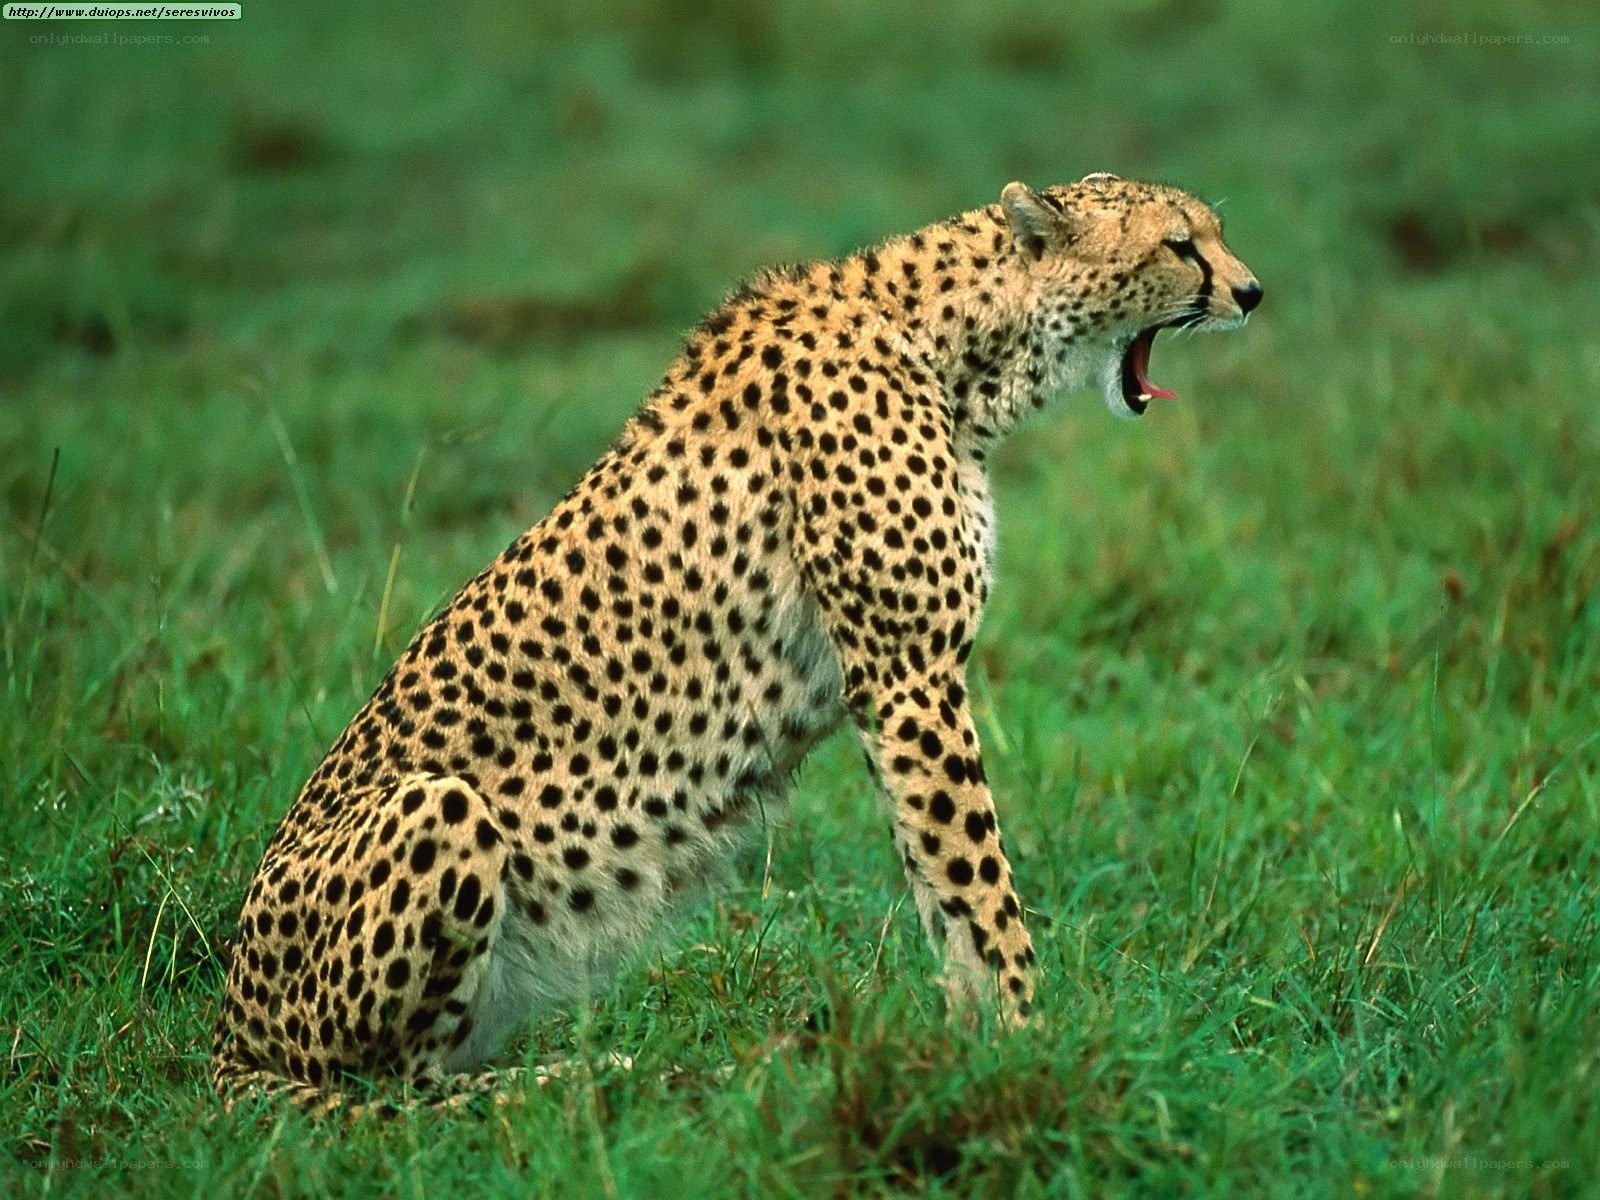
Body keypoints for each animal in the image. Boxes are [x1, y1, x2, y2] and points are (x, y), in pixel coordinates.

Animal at [210, 172, 1262, 1108]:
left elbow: (938, 884)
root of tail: (225, 1029)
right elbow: (978, 882)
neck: (958, 344)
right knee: (387, 1086)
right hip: (438, 804)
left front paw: (974, 1042)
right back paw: (571, 1082)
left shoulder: (898, 689)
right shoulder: (911, 676)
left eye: (1210, 233)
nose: (1251, 291)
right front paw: (1029, 1037)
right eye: (1180, 244)